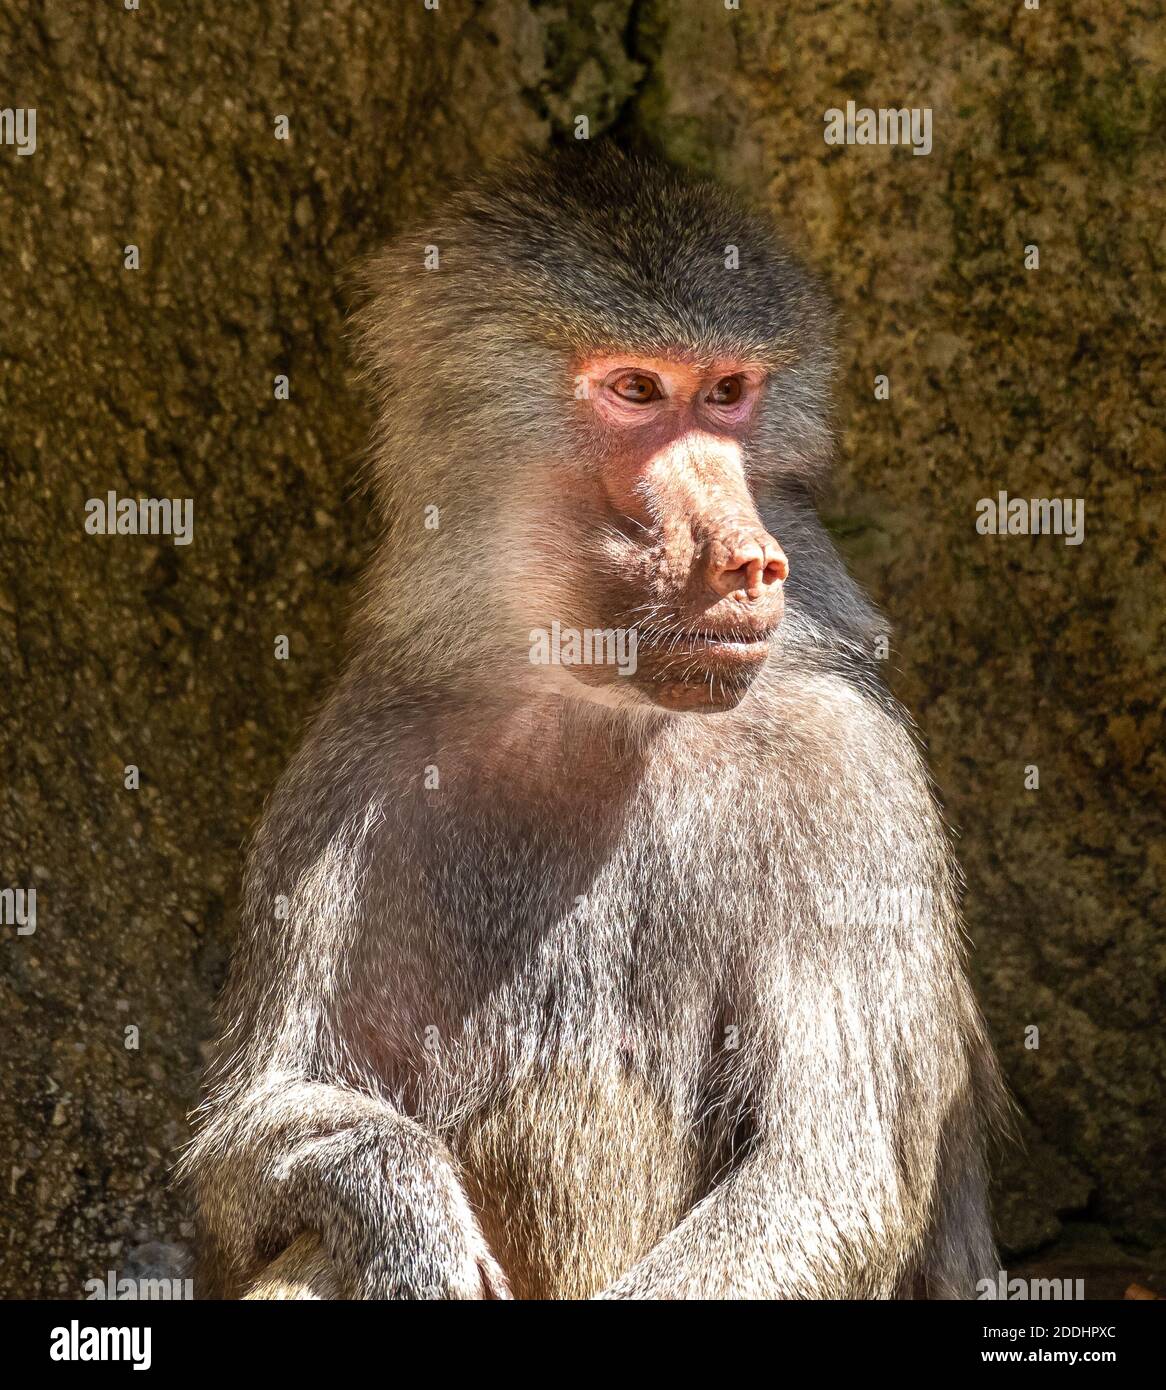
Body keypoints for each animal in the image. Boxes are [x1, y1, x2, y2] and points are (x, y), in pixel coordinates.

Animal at [180, 144, 1005, 1300]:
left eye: (729, 393)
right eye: (635, 390)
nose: (750, 559)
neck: (594, 707)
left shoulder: (847, 778)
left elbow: (828, 1175)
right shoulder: (358, 756)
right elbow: (247, 1146)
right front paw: (405, 1211)